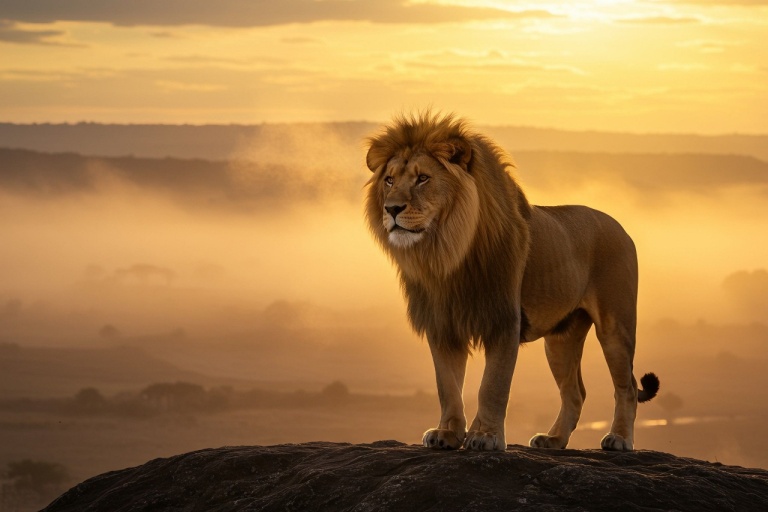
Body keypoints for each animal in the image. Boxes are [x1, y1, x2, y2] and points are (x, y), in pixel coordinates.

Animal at [364, 111, 659, 452]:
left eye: (423, 178)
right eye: (389, 180)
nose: (391, 208)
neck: (446, 252)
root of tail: (620, 227)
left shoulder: (504, 320)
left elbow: (492, 385)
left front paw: (485, 436)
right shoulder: (442, 324)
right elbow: (447, 386)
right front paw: (446, 433)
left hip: (615, 326)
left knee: (627, 387)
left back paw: (619, 439)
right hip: (560, 339)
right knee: (575, 392)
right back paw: (553, 439)